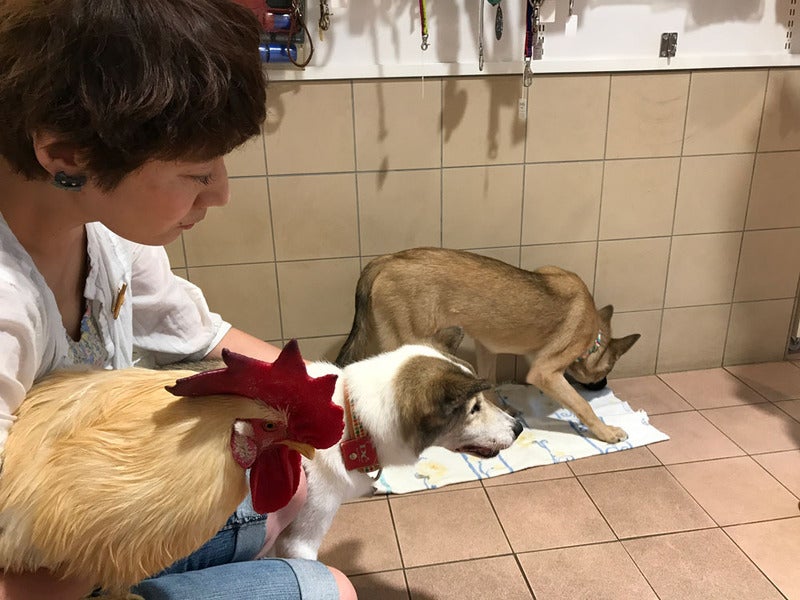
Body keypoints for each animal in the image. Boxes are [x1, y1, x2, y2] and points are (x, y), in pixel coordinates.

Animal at [335, 247, 640, 444]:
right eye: (607, 370)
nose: (604, 385)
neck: (594, 334)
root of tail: (385, 260)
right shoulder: (545, 373)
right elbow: (582, 406)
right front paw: (606, 432)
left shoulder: (486, 348)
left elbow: (489, 381)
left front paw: (499, 408)